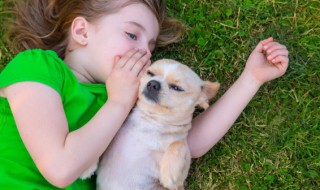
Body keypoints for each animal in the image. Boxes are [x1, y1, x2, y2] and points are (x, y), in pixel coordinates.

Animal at [82, 58, 220, 189]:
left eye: (177, 88)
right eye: (150, 73)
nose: (153, 83)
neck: (150, 120)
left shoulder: (178, 184)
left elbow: (178, 144)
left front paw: (169, 173)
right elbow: (99, 141)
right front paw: (87, 166)